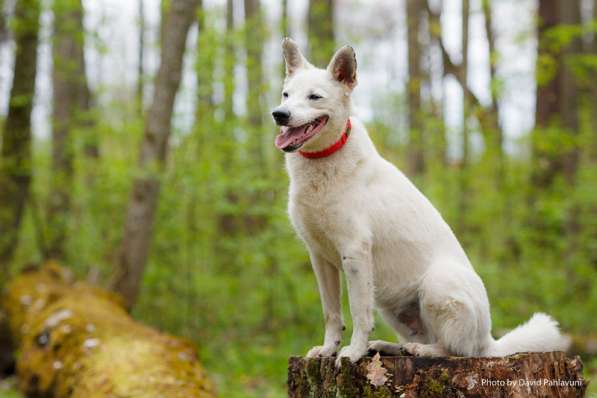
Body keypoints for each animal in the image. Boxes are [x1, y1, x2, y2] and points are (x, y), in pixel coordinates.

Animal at [270, 38, 568, 366]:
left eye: (315, 97)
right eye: (286, 94)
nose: (279, 114)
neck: (323, 162)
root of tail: (490, 341)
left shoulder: (355, 252)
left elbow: (359, 314)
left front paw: (353, 352)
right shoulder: (319, 256)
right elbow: (332, 314)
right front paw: (327, 350)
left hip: (436, 285)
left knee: (457, 350)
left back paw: (421, 350)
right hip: (391, 304)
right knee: (426, 338)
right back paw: (388, 347)